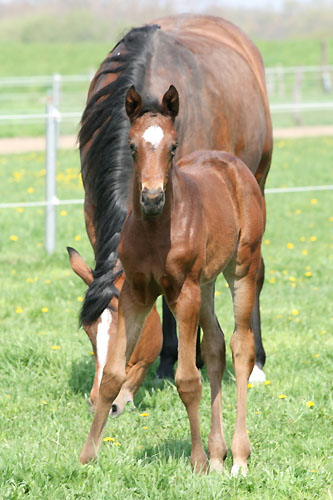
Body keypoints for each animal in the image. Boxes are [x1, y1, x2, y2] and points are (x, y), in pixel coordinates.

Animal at [79, 14, 272, 382]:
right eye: (90, 334)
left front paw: (175, 360)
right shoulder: (93, 214)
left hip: (255, 183)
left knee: (252, 273)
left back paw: (253, 362)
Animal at [79, 87, 264, 476]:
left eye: (174, 146)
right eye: (132, 146)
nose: (152, 197)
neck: (155, 229)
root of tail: (233, 164)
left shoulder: (183, 292)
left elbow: (188, 379)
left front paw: (197, 462)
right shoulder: (135, 293)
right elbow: (112, 376)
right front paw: (87, 458)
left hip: (241, 268)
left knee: (241, 346)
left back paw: (238, 456)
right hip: (207, 282)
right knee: (215, 346)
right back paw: (218, 454)